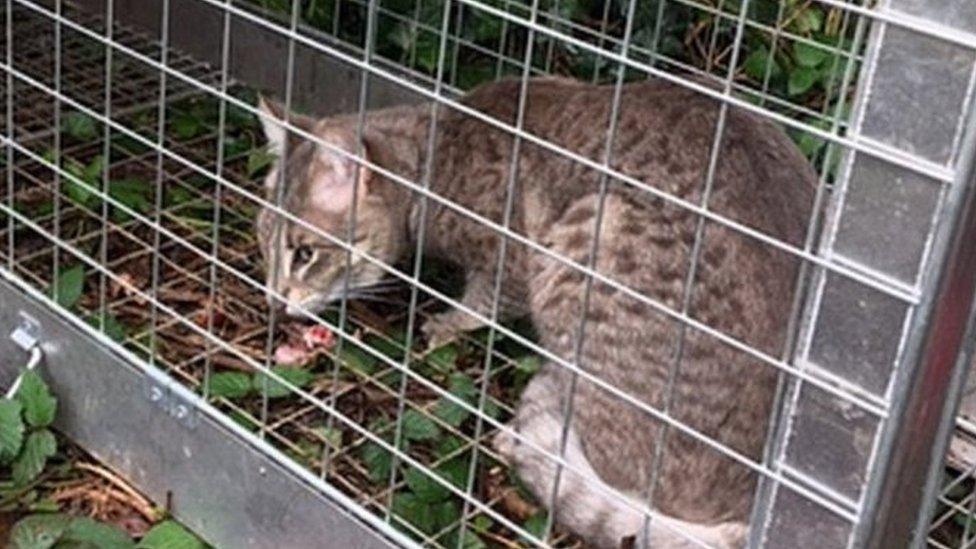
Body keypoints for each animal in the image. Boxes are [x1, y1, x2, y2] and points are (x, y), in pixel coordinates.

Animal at [258, 78, 816, 548]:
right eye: (264, 239)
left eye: (304, 253)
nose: (272, 300)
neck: (435, 158)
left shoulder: (514, 258)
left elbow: (487, 300)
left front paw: (450, 322)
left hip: (586, 243)